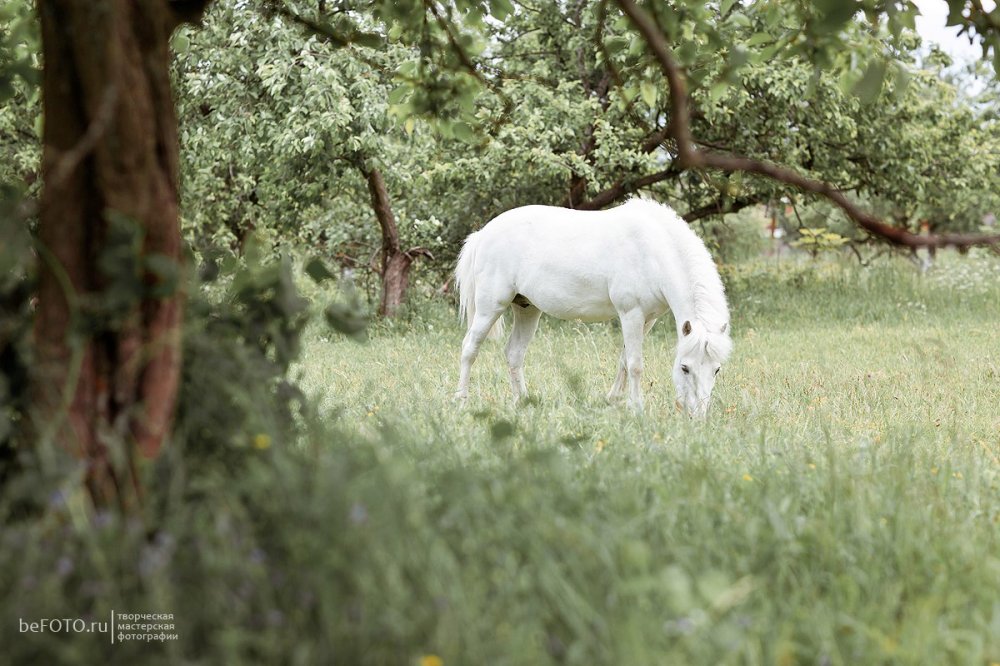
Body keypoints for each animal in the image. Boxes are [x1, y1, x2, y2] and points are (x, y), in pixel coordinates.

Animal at [453, 198, 733, 417]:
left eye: (717, 369)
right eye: (685, 368)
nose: (698, 416)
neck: (652, 251)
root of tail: (482, 234)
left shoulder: (647, 320)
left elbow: (623, 361)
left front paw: (614, 401)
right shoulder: (631, 314)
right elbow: (635, 364)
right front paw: (637, 409)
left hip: (527, 309)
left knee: (514, 354)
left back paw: (523, 402)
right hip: (490, 307)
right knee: (469, 349)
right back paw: (462, 400)